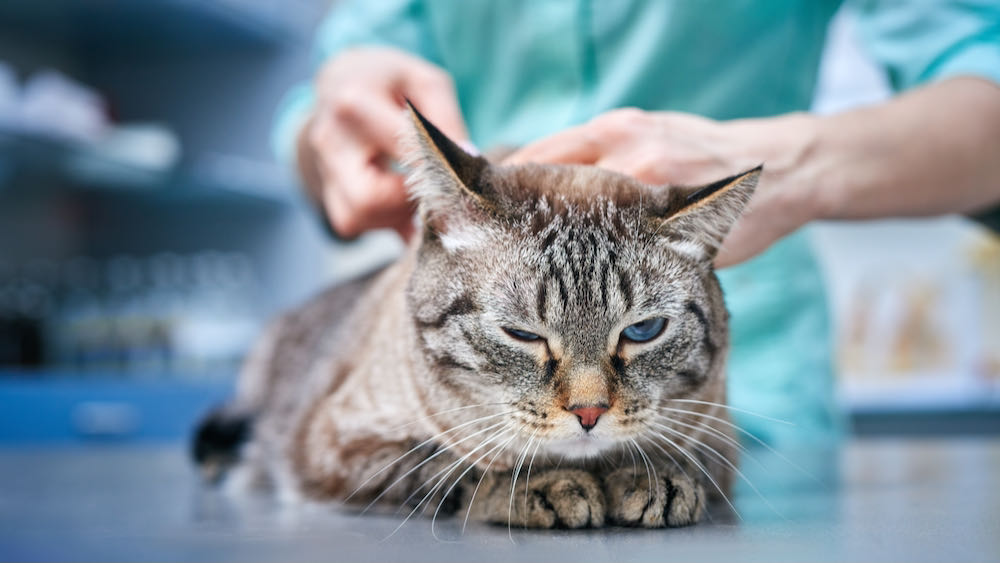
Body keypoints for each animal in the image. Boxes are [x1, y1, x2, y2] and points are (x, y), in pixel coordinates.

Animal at [193, 103, 756, 532]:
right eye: (522, 334)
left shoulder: (718, 434)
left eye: (642, 331)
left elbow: (674, 455)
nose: (589, 413)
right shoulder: (341, 447)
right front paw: (547, 485)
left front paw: (649, 479)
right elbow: (457, 467)